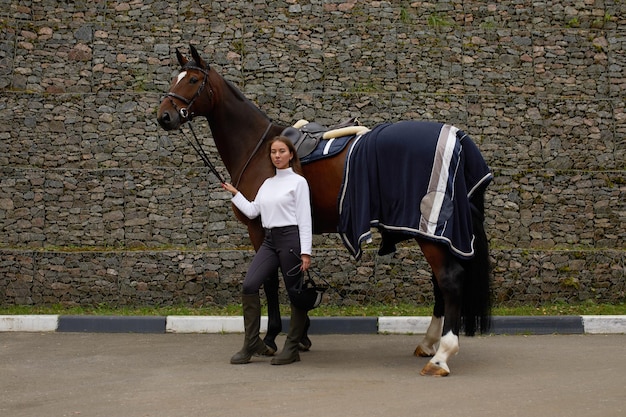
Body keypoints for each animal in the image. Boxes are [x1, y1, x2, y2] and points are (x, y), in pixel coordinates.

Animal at [157, 44, 492, 374]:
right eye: (176, 77)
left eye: (192, 80)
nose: (164, 116)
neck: (260, 149)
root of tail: (457, 137)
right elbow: (292, 276)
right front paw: (301, 336)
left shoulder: (260, 228)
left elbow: (270, 281)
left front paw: (270, 338)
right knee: (440, 283)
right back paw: (428, 343)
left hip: (430, 230)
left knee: (449, 280)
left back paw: (442, 355)